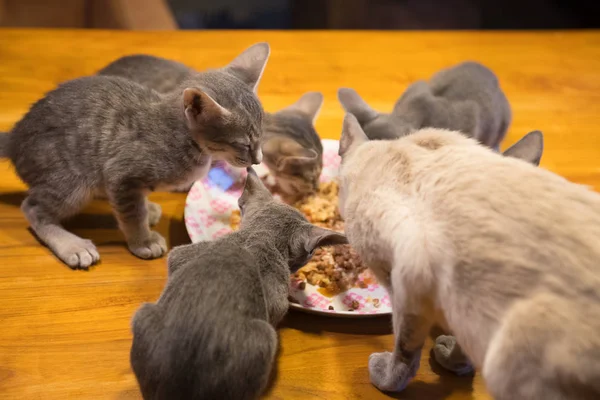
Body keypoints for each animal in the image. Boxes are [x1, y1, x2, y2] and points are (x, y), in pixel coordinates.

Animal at [0, 43, 270, 268]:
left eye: (261, 135)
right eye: (243, 144)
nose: (258, 159)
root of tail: (15, 136)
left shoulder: (118, 180)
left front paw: (144, 216)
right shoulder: (121, 173)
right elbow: (132, 214)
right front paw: (143, 242)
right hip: (69, 181)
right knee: (33, 207)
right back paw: (72, 244)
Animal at [131, 167, 346, 398]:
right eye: (311, 253)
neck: (260, 235)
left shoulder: (179, 256)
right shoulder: (277, 301)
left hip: (143, 314)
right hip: (266, 339)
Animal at [338, 114, 600, 398]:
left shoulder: (406, 284)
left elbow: (404, 352)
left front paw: (385, 377)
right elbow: (460, 348)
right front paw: (454, 361)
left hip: (509, 354)